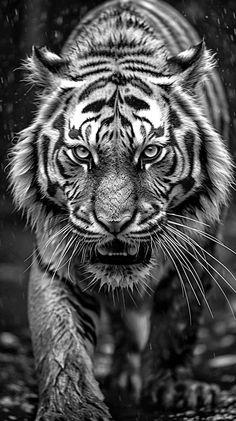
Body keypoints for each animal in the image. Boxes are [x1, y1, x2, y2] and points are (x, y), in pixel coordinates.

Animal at [9, 0, 232, 418]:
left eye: (151, 152)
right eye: (82, 153)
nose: (114, 224)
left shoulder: (194, 254)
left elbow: (177, 325)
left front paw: (173, 389)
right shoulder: (55, 258)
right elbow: (60, 338)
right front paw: (71, 407)